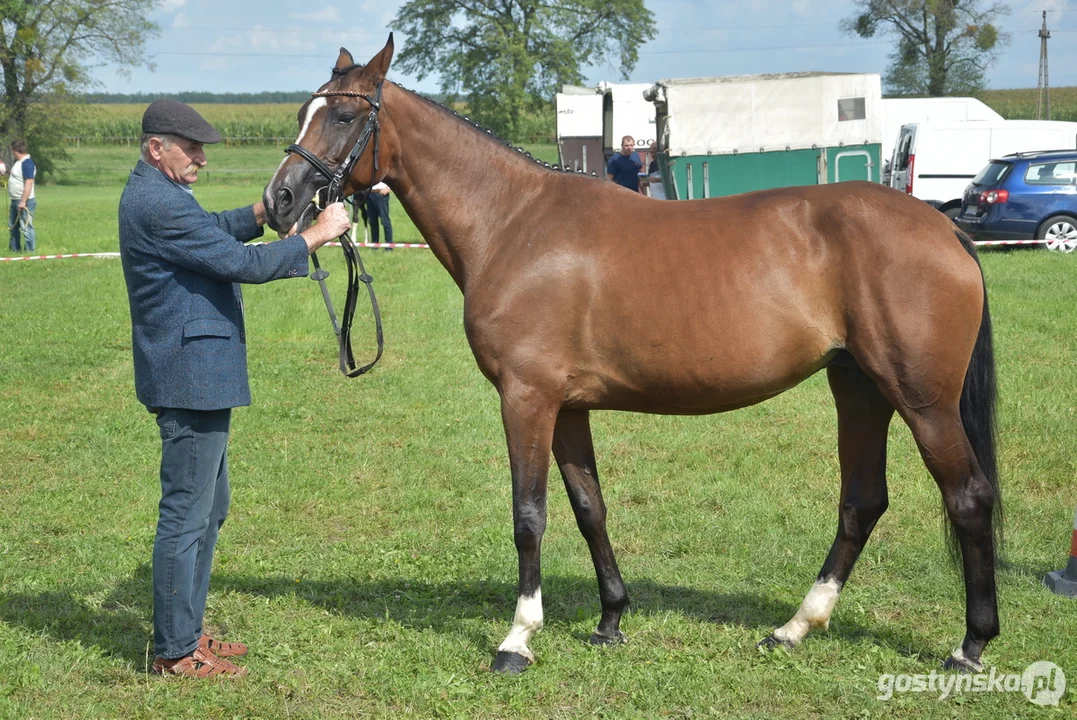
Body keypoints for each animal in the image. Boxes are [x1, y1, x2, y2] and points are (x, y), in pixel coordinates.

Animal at [264, 33, 1003, 675]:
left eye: (344, 114)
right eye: (304, 111)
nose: (279, 200)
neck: (511, 223)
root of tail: (942, 228)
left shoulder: (526, 398)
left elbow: (528, 515)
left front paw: (517, 639)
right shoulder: (565, 407)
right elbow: (588, 507)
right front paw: (610, 620)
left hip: (921, 400)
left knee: (967, 498)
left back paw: (969, 645)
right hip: (858, 387)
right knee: (862, 502)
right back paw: (794, 627)